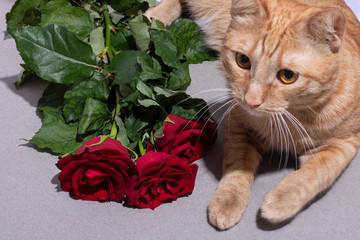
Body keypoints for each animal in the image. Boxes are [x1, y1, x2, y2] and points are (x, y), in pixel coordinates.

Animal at [144, 0, 360, 230]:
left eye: (288, 76)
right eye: (243, 60)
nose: (251, 101)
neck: (291, 116)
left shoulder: (345, 144)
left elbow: (315, 173)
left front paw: (282, 200)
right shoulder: (238, 121)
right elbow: (237, 163)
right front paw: (228, 200)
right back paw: (154, 15)